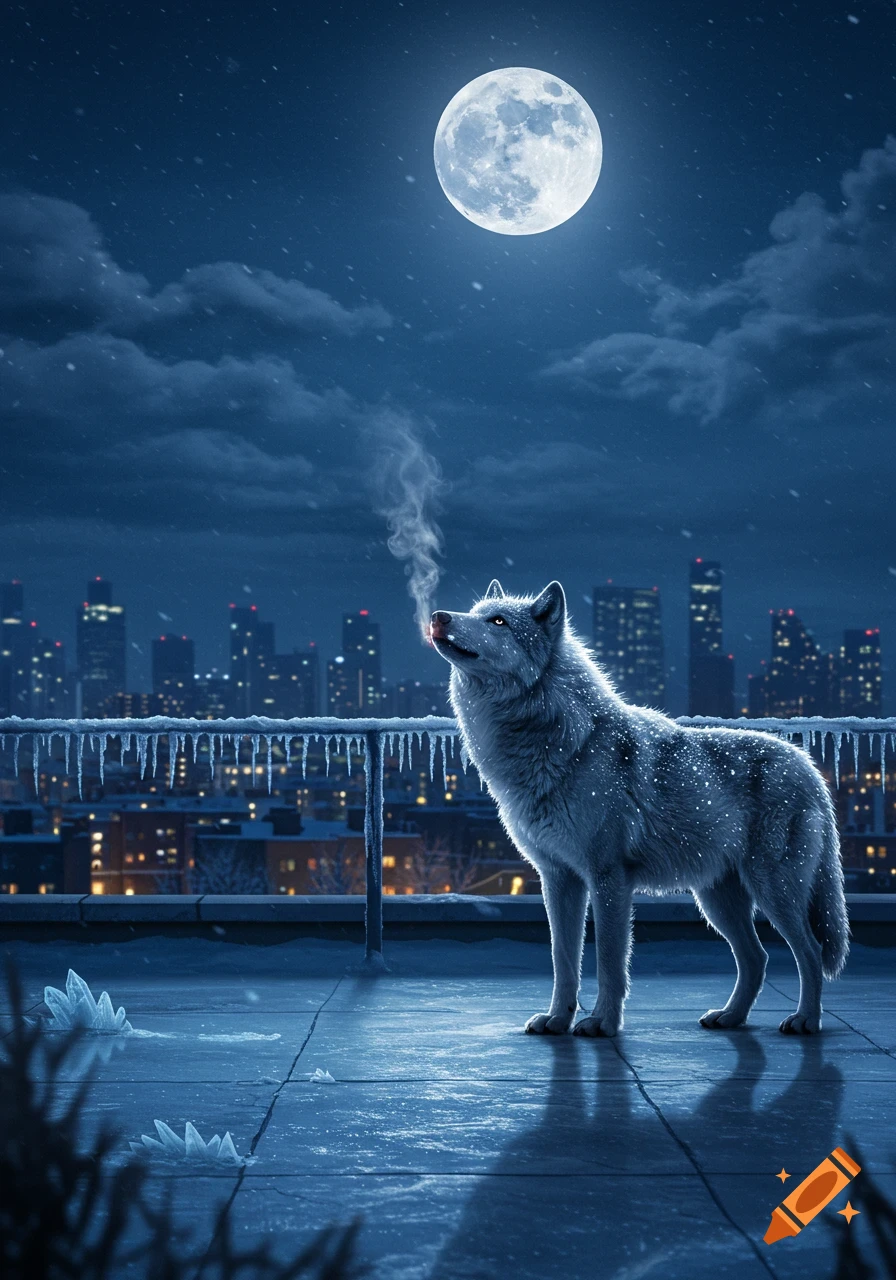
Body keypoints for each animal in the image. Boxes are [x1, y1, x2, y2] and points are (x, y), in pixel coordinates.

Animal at [430, 580, 848, 1037]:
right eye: (476, 612)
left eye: (498, 621)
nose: (437, 616)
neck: (564, 740)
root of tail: (809, 768)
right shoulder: (558, 878)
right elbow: (563, 960)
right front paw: (557, 1019)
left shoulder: (609, 877)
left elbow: (609, 961)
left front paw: (602, 1023)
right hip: (716, 900)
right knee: (758, 957)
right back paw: (730, 1016)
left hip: (772, 889)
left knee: (809, 951)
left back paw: (806, 1019)